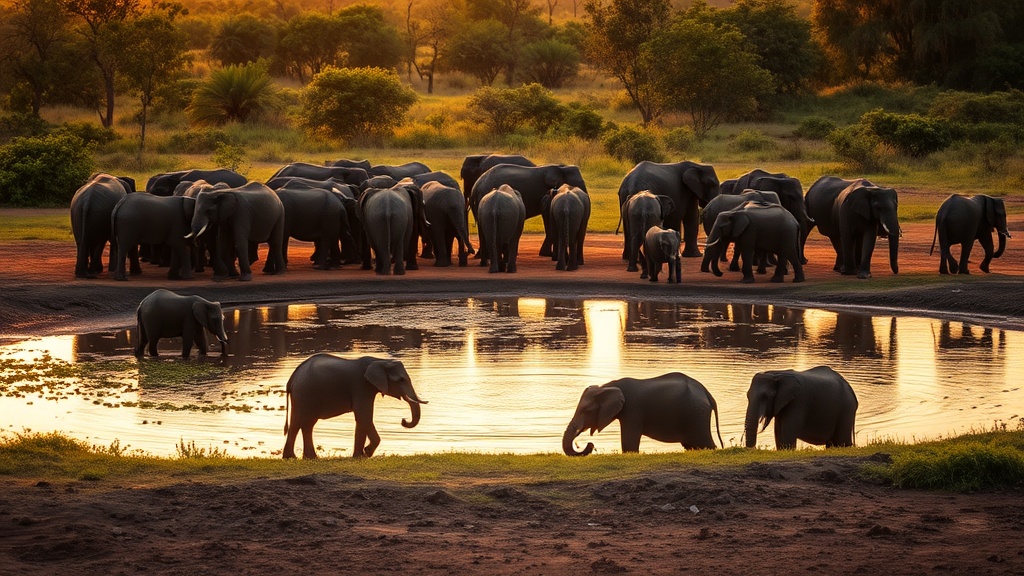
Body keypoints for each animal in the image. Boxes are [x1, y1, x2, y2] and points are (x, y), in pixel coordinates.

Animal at [282, 354, 426, 459]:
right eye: (400, 380)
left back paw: (308, 457)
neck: (380, 361)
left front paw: (359, 456)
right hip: (304, 394)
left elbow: (361, 419)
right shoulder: (360, 385)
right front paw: (367, 452)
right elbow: (363, 416)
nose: (403, 420)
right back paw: (293, 457)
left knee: (305, 424)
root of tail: (292, 379)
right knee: (299, 422)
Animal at [562, 372, 723, 455]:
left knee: (705, 444)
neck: (607, 386)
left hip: (697, 414)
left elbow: (629, 445)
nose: (590, 444)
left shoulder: (633, 410)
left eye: (587, 411)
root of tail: (708, 394)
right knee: (691, 446)